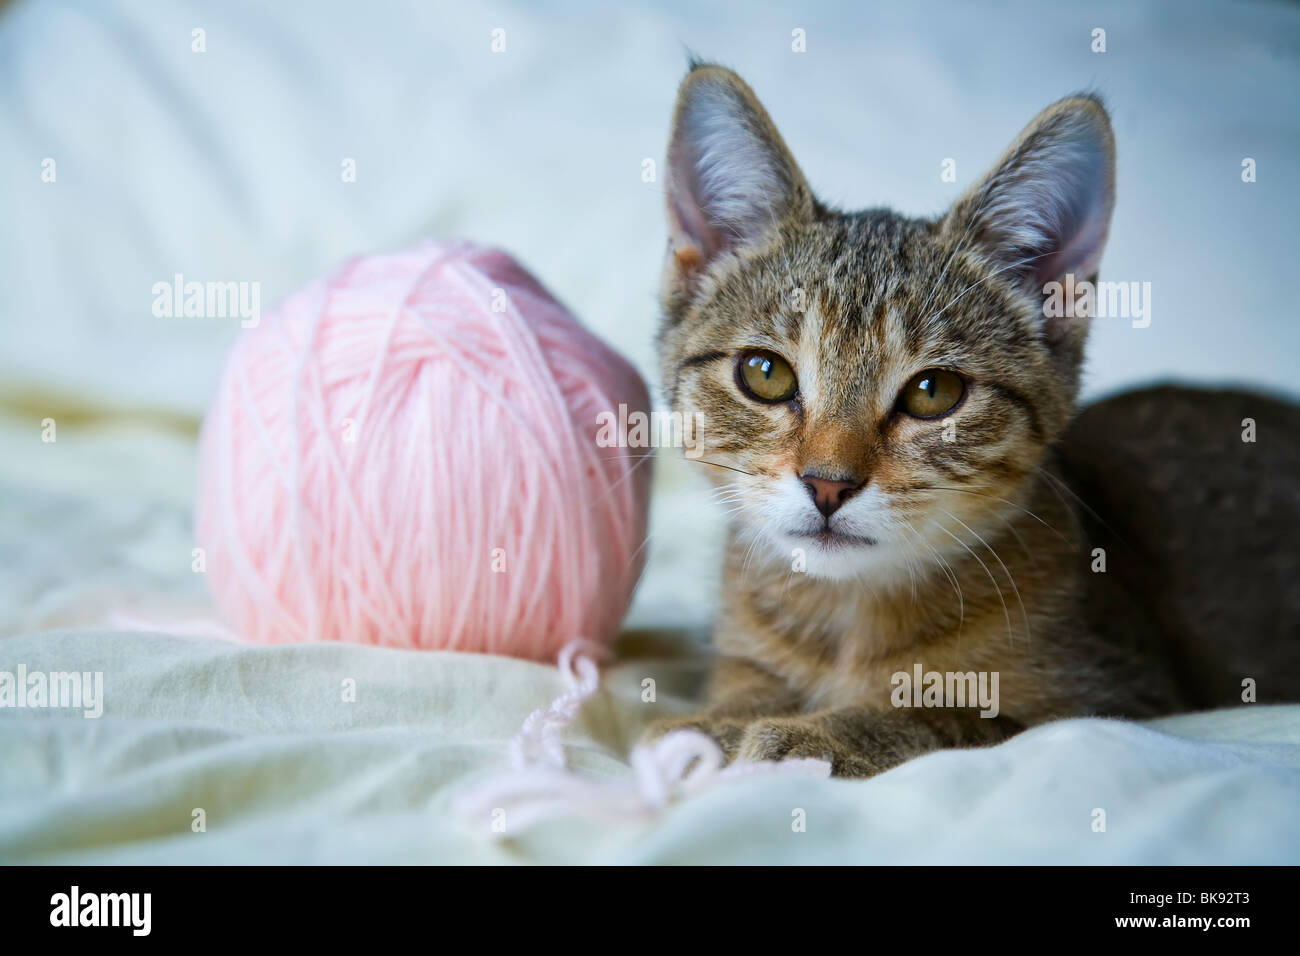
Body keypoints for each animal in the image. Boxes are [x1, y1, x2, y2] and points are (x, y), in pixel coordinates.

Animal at [650, 63, 1300, 780]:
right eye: (765, 373)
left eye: (935, 392)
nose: (827, 484)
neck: (847, 612)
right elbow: (744, 681)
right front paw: (719, 720)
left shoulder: (1115, 697)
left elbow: (945, 716)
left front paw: (827, 732)